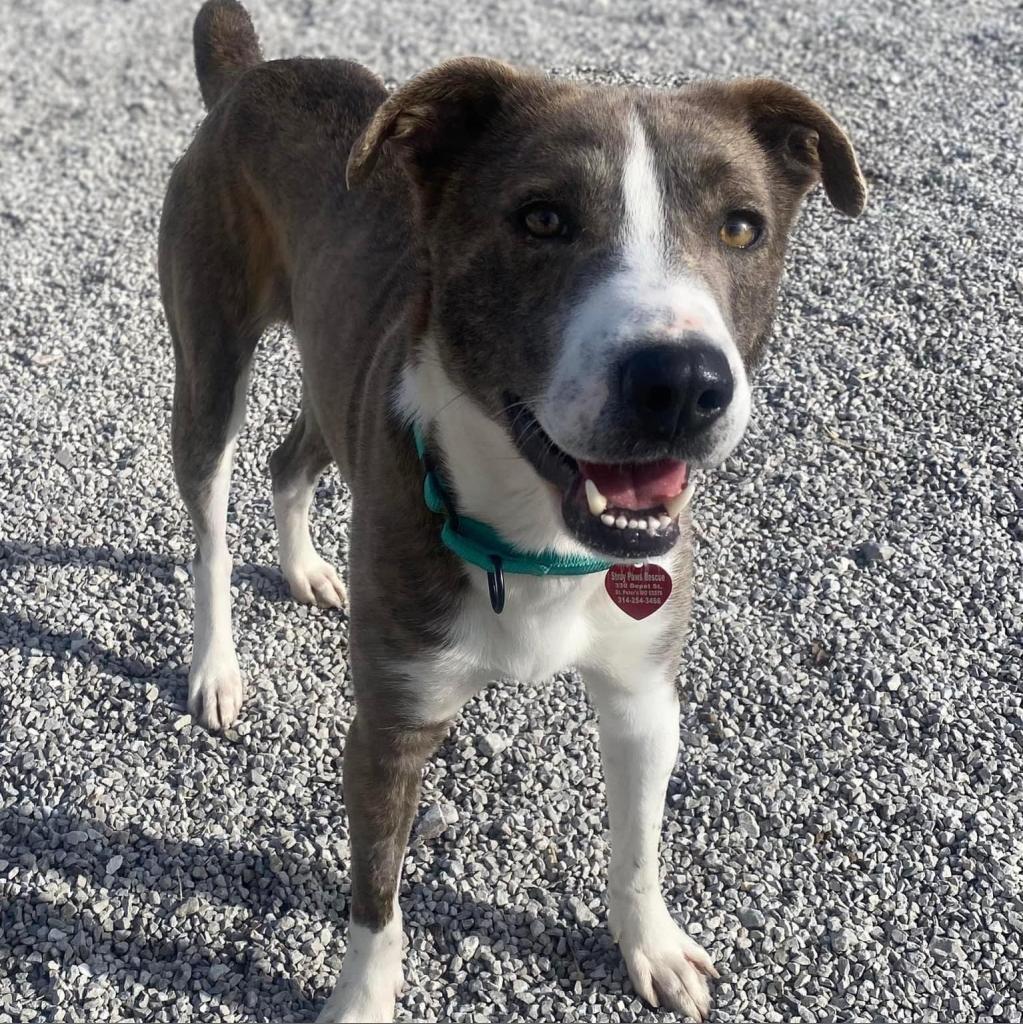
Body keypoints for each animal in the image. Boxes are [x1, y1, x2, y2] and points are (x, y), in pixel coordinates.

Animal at [159, 4, 864, 1019]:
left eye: (741, 228)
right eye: (541, 218)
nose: (682, 382)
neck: (537, 541)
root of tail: (253, 72)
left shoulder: (643, 694)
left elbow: (638, 847)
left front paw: (651, 946)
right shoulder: (391, 726)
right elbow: (376, 894)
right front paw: (363, 998)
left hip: (337, 378)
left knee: (289, 461)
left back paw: (304, 568)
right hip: (210, 360)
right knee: (212, 526)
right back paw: (216, 668)